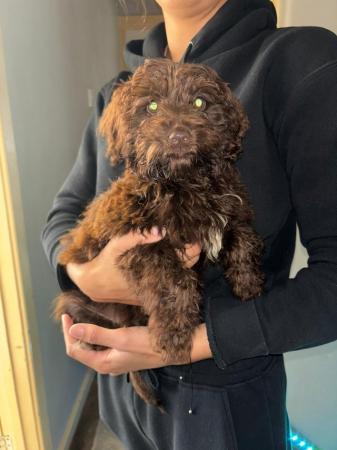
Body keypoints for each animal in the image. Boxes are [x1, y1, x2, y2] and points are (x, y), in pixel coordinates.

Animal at [53, 59, 266, 412]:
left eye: (199, 102)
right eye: (151, 106)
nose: (179, 136)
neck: (185, 182)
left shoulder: (232, 210)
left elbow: (244, 239)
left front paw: (248, 285)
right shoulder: (139, 244)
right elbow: (175, 281)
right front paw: (174, 338)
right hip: (77, 303)